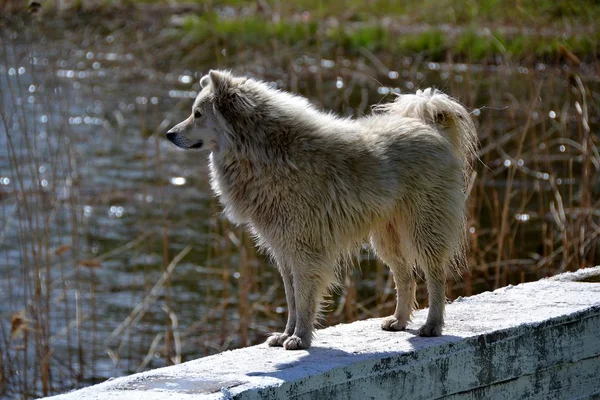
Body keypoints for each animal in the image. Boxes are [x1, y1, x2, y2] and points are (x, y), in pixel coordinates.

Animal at [166, 70, 476, 348]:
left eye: (197, 114)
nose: (168, 134)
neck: (264, 150)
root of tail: (430, 126)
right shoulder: (284, 250)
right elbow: (291, 299)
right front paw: (286, 334)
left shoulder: (305, 249)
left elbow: (304, 299)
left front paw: (300, 338)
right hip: (387, 237)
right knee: (405, 277)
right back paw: (399, 321)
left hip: (423, 228)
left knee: (436, 277)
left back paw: (432, 325)